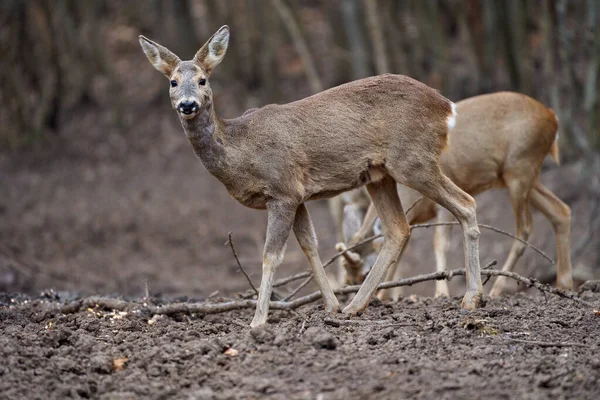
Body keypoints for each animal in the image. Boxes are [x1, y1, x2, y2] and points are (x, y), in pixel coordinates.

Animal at [139, 25, 482, 326]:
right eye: (172, 82)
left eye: (202, 79)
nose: (187, 104)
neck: (241, 151)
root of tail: (447, 107)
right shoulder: (298, 195)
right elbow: (310, 246)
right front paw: (331, 305)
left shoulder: (281, 189)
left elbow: (271, 256)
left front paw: (257, 321)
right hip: (380, 174)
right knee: (399, 229)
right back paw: (355, 306)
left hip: (413, 159)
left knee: (465, 203)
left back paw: (471, 298)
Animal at [336, 91, 576, 300]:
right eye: (345, 272)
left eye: (363, 273)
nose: (347, 289)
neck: (409, 194)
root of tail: (552, 118)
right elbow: (403, 245)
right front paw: (384, 296)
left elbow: (439, 242)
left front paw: (441, 293)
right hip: (521, 175)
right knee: (560, 211)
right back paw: (565, 284)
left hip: (520, 168)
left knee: (525, 228)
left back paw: (496, 290)